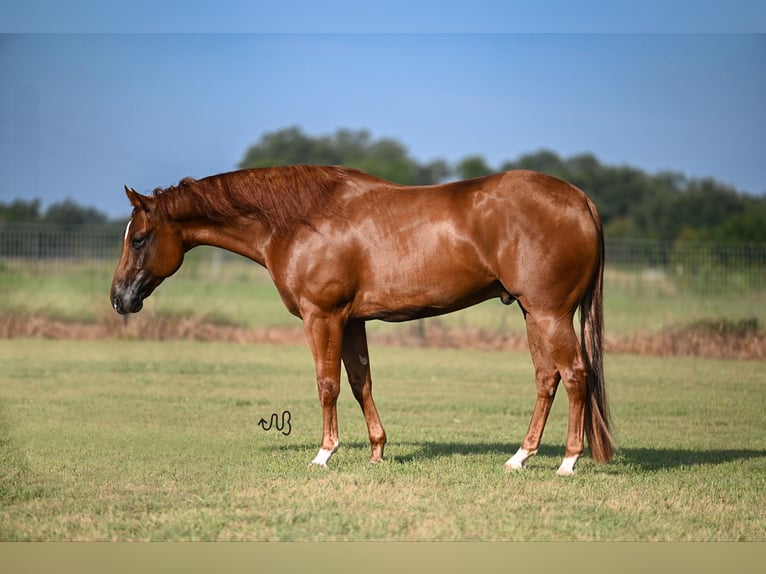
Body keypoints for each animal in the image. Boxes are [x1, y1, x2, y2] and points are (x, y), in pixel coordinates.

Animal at [111, 164, 616, 474]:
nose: (119, 298)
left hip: (549, 314)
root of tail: (581, 200)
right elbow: (360, 383)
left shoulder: (322, 316)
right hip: (534, 314)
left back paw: (567, 462)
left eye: (138, 238)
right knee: (547, 379)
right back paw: (519, 458)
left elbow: (327, 384)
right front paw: (377, 451)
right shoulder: (352, 320)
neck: (301, 219)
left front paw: (323, 454)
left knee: (575, 375)